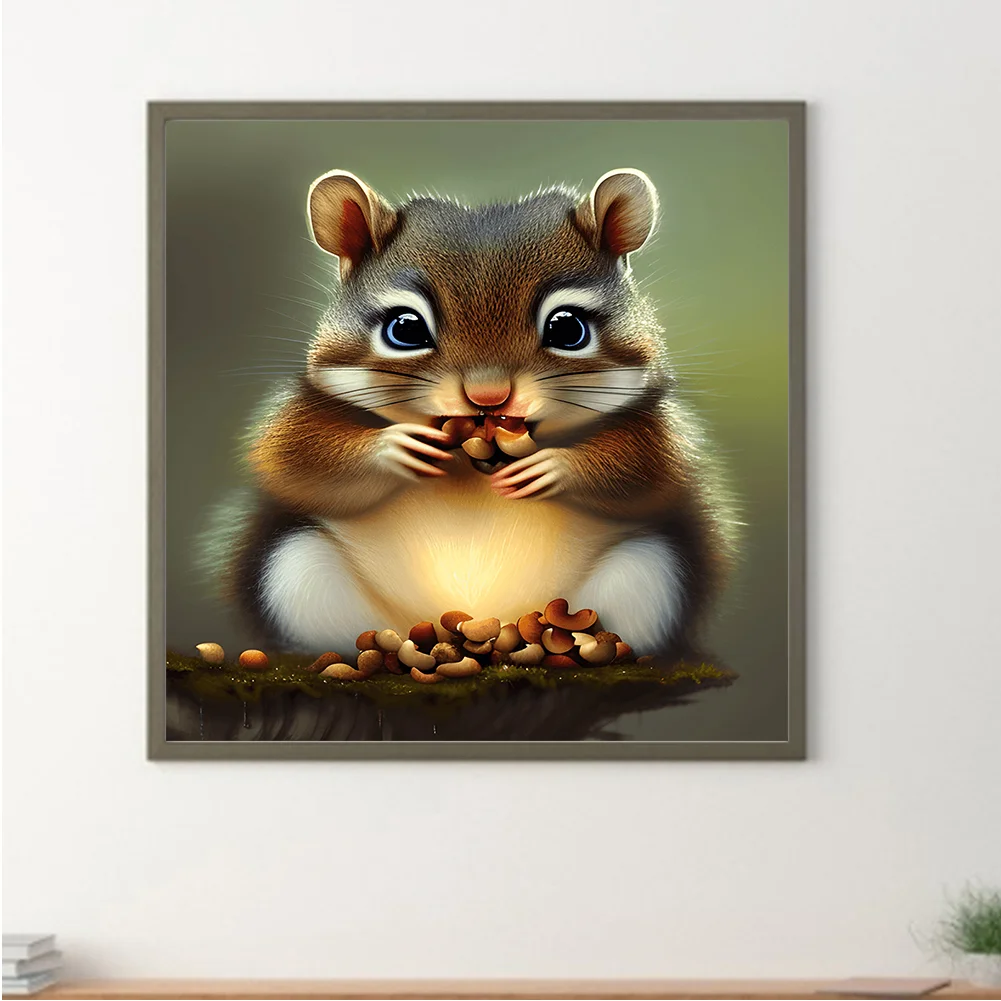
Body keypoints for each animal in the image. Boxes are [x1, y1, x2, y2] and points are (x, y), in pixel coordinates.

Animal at [211, 167, 736, 657]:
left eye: (569, 329)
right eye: (404, 329)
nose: (489, 397)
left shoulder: (658, 427)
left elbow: (650, 472)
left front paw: (551, 467)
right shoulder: (302, 412)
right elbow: (293, 461)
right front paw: (395, 448)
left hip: (649, 575)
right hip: (297, 573)